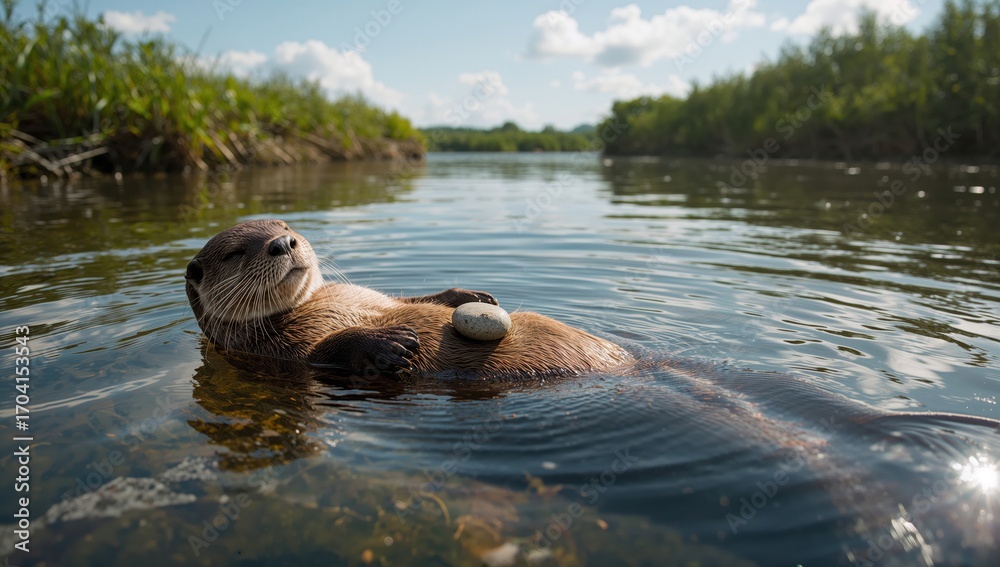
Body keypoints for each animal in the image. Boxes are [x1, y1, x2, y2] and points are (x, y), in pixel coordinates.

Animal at [184, 219, 633, 378]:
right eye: (235, 252)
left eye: (285, 226)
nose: (283, 242)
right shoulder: (271, 350)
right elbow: (321, 352)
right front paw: (387, 343)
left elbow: (413, 299)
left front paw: (470, 294)